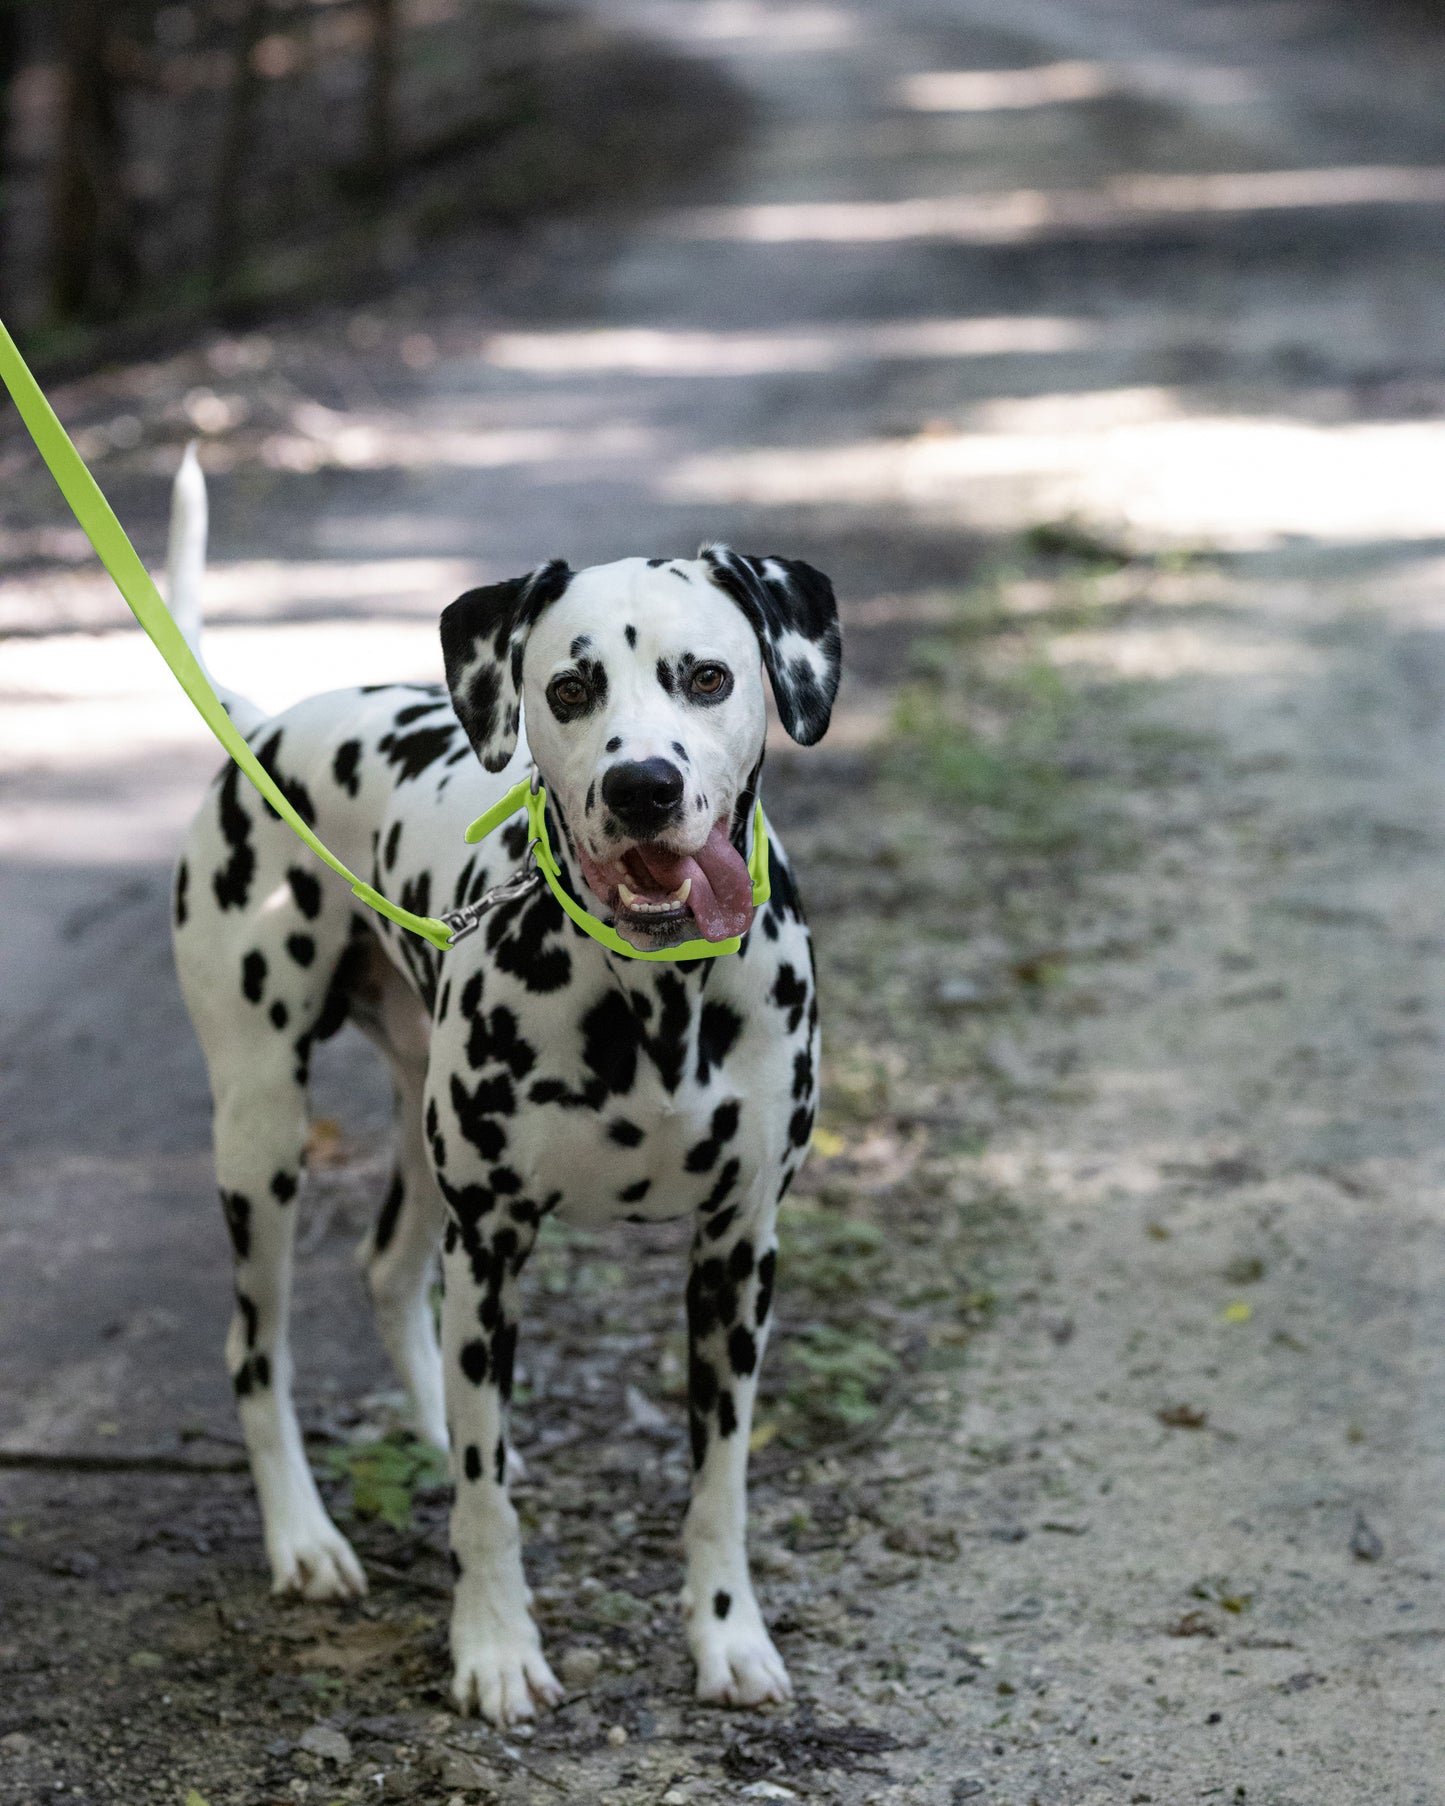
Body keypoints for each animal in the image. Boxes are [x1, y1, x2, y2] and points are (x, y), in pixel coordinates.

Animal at [167, 451, 841, 1719]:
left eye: (708, 676)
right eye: (569, 688)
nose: (641, 787)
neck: (652, 993)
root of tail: (268, 723)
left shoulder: (739, 1254)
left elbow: (718, 1483)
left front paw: (727, 1635)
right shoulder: (490, 1248)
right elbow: (485, 1506)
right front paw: (490, 1646)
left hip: (414, 1129)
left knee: (387, 1274)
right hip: (261, 1134)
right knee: (253, 1350)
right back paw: (304, 1539)